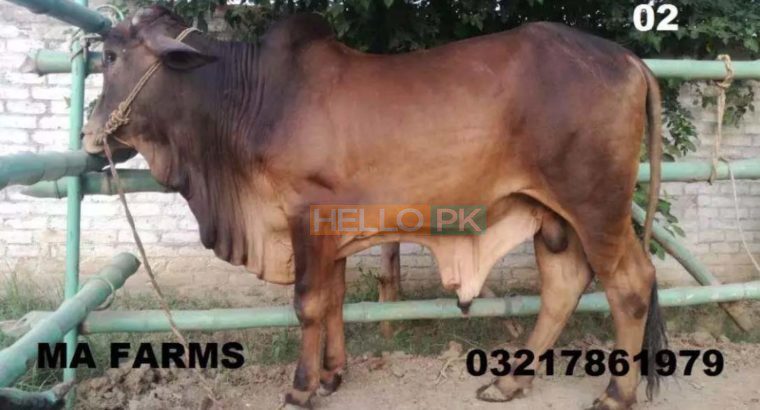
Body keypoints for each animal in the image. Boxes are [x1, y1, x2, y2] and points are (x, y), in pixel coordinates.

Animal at [82, 6, 665, 409]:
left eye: (110, 57)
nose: (89, 132)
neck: (254, 98)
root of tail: (630, 60)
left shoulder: (308, 215)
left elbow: (309, 303)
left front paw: (301, 388)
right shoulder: (332, 231)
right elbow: (334, 299)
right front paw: (332, 374)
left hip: (596, 205)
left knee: (630, 284)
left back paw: (616, 393)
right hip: (553, 216)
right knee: (564, 286)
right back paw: (508, 381)